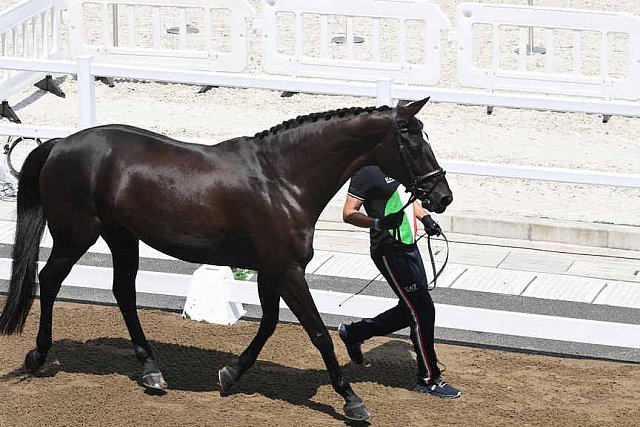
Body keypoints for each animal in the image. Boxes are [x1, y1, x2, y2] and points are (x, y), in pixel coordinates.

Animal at [0, 98, 450, 422]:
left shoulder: (271, 270)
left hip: (122, 237)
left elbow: (268, 324)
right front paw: (351, 399)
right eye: (413, 143)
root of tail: (60, 144)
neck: (283, 179)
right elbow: (319, 333)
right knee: (49, 280)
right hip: (75, 236)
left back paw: (151, 371)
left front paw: (231, 374)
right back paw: (38, 356)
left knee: (123, 292)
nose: (442, 196)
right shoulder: (288, 270)